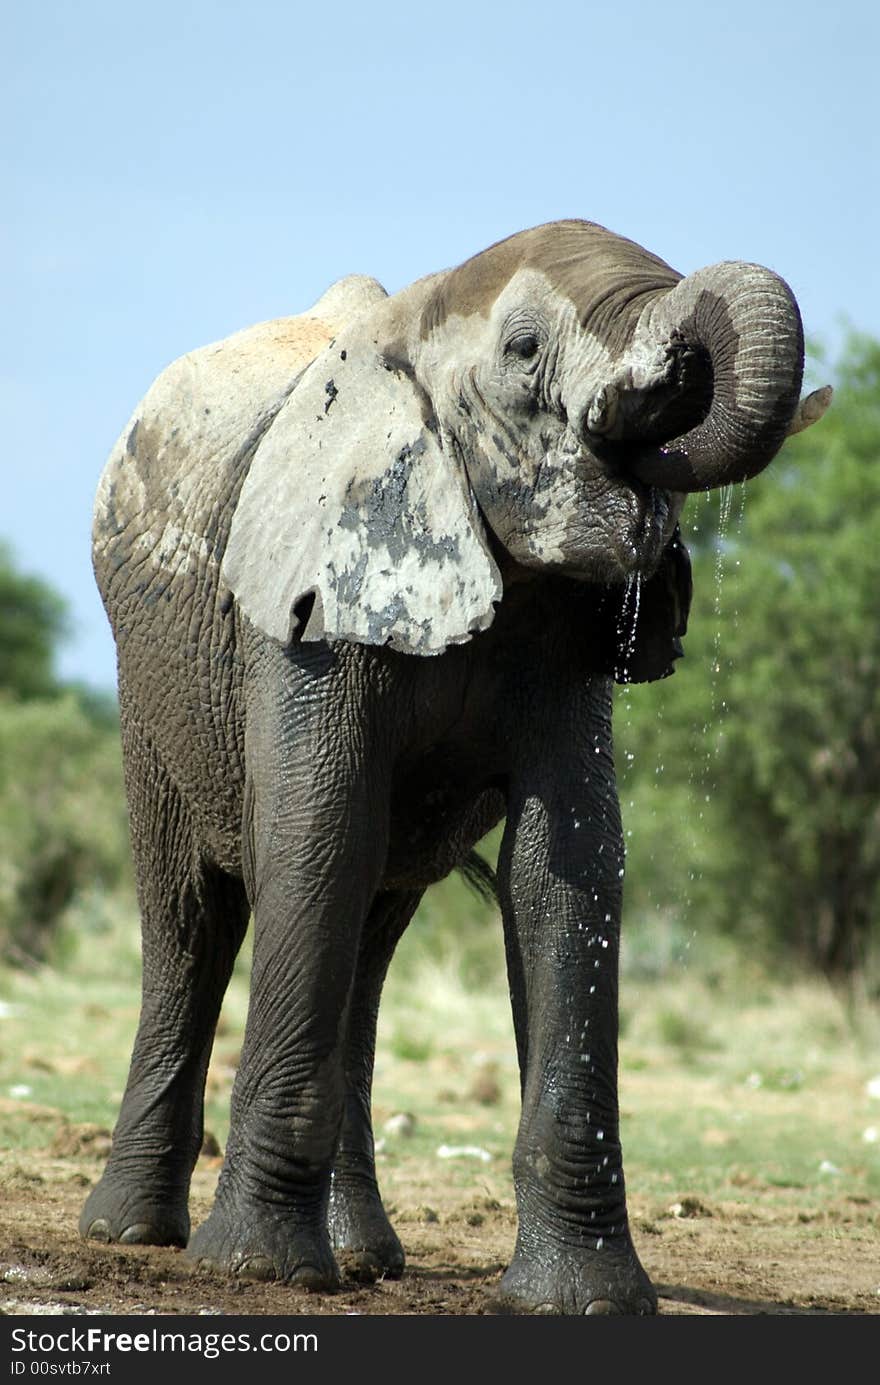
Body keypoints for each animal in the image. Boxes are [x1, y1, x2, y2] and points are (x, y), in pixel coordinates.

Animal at [79, 221, 831, 1312]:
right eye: (523, 351)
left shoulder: (565, 633)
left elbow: (564, 870)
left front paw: (585, 1302)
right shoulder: (310, 604)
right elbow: (317, 836)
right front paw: (255, 1269)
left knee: (370, 927)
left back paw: (364, 1259)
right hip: (151, 686)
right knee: (193, 915)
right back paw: (135, 1235)